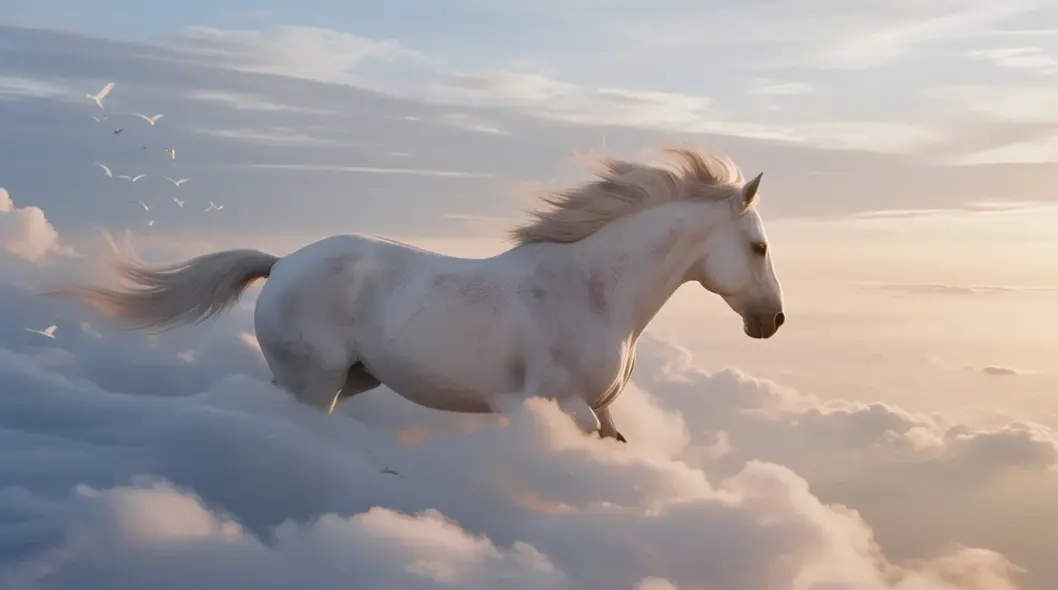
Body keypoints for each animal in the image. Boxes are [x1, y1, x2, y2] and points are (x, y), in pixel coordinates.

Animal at [41, 146, 785, 444]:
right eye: (758, 247)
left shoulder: (602, 414)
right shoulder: (559, 406)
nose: (773, 321)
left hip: (347, 381)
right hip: (315, 384)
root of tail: (281, 264)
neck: (596, 294)